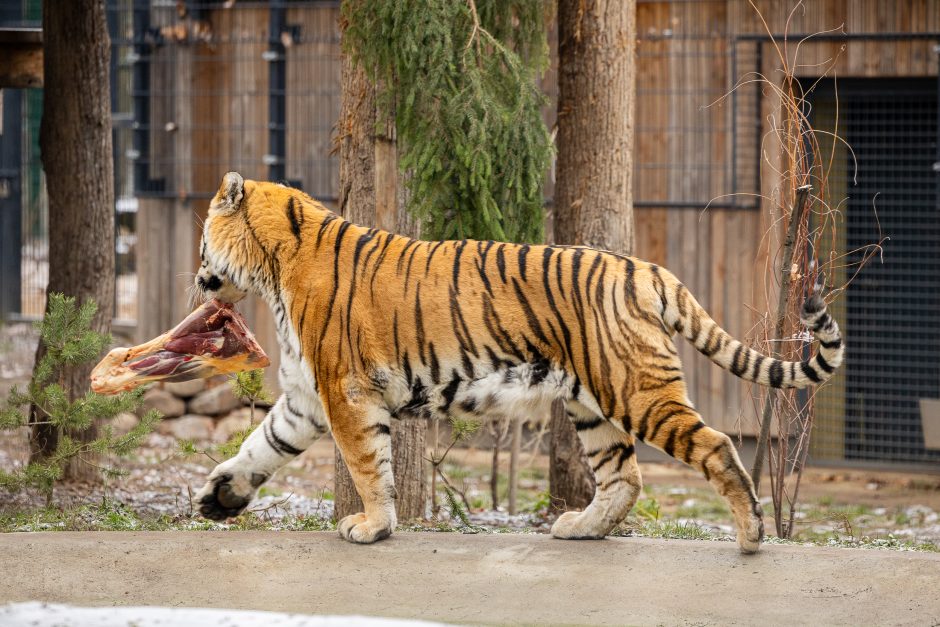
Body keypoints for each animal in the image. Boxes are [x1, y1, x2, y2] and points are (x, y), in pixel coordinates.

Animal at [193, 172, 844, 556]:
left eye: (202, 241)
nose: (196, 277)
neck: (273, 269)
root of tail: (647, 269)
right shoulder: (306, 396)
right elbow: (261, 444)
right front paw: (219, 497)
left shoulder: (345, 392)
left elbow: (367, 467)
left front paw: (371, 527)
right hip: (591, 404)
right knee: (623, 478)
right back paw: (581, 528)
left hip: (638, 392)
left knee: (716, 446)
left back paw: (752, 535)